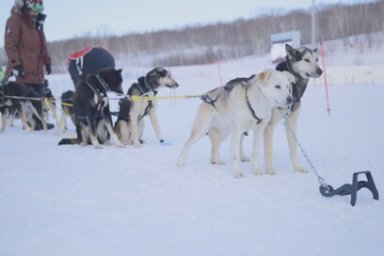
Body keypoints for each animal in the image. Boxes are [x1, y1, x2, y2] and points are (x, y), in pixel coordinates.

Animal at [262, 44, 322, 174]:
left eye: (317, 60)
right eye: (306, 59)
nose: (321, 71)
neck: (292, 87)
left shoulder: (292, 122)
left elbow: (294, 148)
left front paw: (297, 167)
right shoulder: (269, 125)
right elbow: (268, 150)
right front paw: (269, 168)